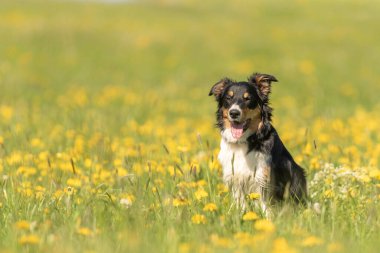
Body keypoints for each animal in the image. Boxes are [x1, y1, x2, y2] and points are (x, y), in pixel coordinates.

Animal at [209, 72, 308, 211]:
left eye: (248, 98)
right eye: (228, 98)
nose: (234, 113)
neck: (242, 142)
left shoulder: (263, 180)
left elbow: (265, 208)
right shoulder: (235, 179)